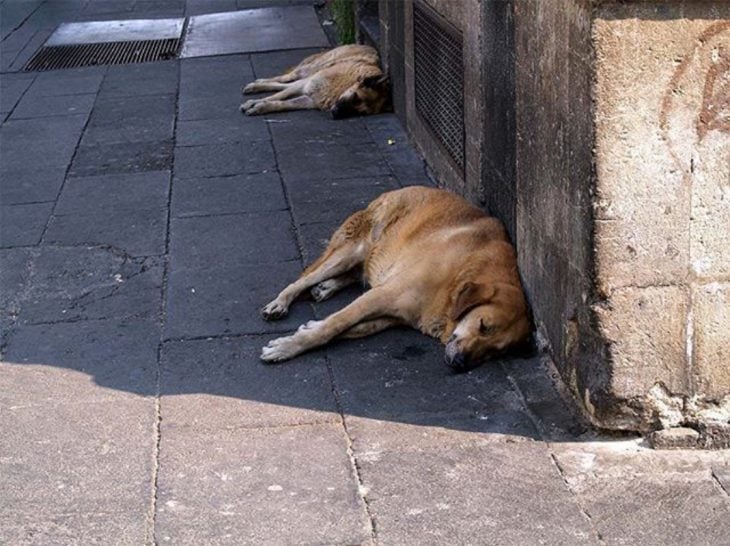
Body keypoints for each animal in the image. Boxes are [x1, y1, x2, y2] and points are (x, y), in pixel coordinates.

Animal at [240, 44, 390, 118]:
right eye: (356, 98)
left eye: (362, 113)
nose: (335, 114)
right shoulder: (307, 84)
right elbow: (277, 96)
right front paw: (254, 102)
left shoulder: (309, 100)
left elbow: (281, 103)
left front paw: (262, 107)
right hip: (312, 68)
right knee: (286, 79)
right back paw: (258, 84)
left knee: (286, 84)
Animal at [260, 184, 528, 370]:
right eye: (483, 326)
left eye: (495, 352)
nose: (460, 363)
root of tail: (396, 190)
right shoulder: (382, 295)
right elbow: (335, 324)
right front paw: (288, 346)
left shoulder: (393, 316)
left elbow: (349, 329)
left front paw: (305, 330)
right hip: (351, 251)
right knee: (303, 280)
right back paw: (280, 302)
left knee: (355, 274)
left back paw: (326, 287)